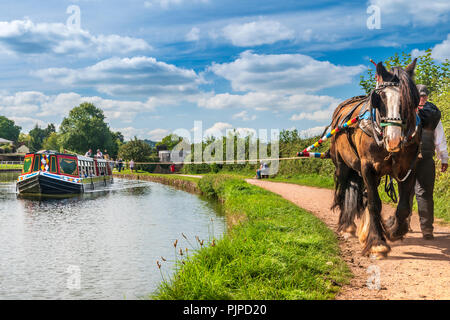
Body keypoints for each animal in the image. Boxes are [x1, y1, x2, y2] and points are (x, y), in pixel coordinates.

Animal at [328, 59, 420, 260]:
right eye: (380, 98)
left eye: (411, 99)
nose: (393, 139)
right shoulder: (367, 167)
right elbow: (374, 204)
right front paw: (377, 244)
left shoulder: (407, 168)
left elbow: (403, 207)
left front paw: (393, 230)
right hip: (343, 166)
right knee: (344, 191)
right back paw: (346, 226)